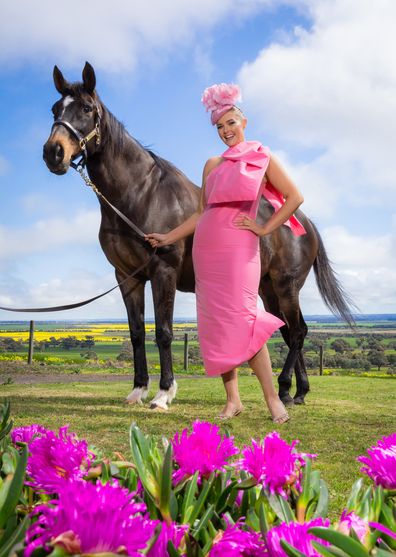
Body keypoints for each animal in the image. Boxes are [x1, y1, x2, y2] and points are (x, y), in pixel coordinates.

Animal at [42, 63, 352, 408]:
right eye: (55, 109)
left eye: (86, 108)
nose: (53, 153)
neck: (139, 194)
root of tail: (303, 223)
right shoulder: (127, 276)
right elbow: (137, 333)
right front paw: (138, 389)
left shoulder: (163, 271)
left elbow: (163, 332)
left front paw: (164, 392)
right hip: (269, 289)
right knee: (291, 331)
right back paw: (295, 392)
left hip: (287, 285)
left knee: (297, 332)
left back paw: (285, 387)